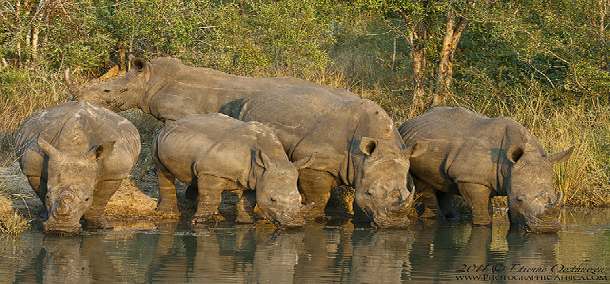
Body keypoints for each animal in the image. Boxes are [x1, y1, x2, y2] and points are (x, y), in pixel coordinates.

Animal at [16, 101, 141, 233]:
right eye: (48, 197)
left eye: (87, 199)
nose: (61, 228)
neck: (73, 150)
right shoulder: (33, 169)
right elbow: (40, 191)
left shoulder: (114, 173)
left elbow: (100, 200)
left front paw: (99, 226)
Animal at [154, 114, 312, 227]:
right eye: (272, 199)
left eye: (299, 200)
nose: (295, 223)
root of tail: (174, 121)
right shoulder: (212, 171)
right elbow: (212, 197)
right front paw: (200, 222)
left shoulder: (255, 177)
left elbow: (248, 200)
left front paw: (245, 222)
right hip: (158, 138)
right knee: (163, 171)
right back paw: (169, 214)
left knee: (195, 177)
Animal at [396, 106, 572, 233]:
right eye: (519, 199)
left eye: (555, 196)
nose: (547, 229)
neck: (509, 165)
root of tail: (408, 123)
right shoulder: (471, 179)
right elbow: (482, 212)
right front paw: (483, 226)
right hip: (409, 151)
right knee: (424, 186)